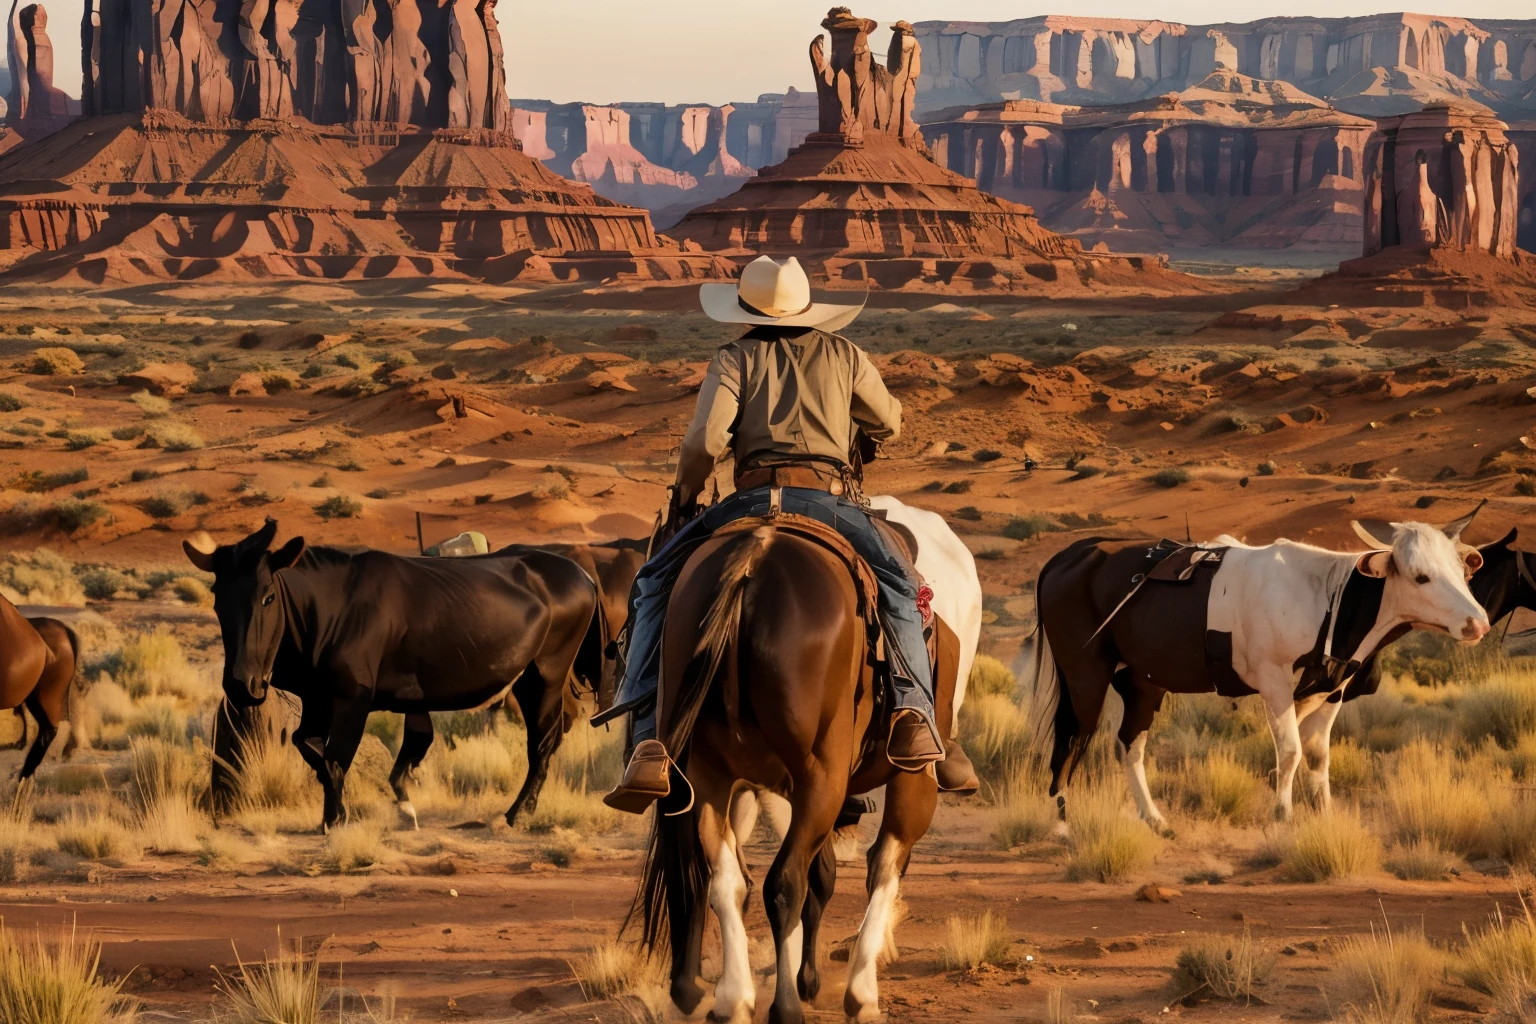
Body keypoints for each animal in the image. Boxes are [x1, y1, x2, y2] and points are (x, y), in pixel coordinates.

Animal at [185, 521, 599, 835]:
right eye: (217, 597)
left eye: (268, 596)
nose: (242, 684)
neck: (327, 609)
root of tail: (581, 575)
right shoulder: (318, 697)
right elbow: (315, 747)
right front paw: (399, 806)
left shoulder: (354, 698)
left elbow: (336, 757)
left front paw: (336, 819)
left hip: (544, 675)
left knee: (542, 743)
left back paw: (517, 813)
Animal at [632, 525, 946, 1019]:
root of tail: (752, 560)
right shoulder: (912, 779)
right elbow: (882, 865)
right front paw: (859, 993)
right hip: (822, 776)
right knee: (783, 883)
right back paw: (783, 1006)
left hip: (707, 776)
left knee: (724, 880)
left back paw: (732, 998)